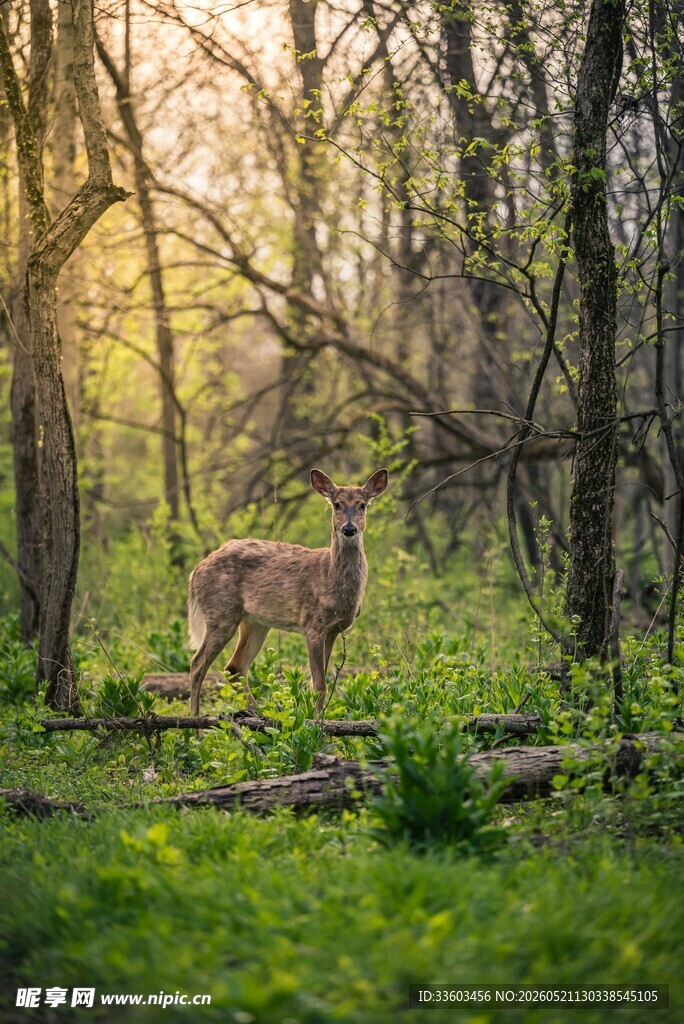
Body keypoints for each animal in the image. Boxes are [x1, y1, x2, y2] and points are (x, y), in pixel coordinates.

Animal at [187, 468, 389, 716]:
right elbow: (319, 683)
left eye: (362, 505)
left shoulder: (334, 629)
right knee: (198, 662)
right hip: (221, 612)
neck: (330, 578)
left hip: (254, 621)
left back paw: (261, 714)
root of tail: (196, 570)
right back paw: (194, 719)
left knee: (234, 667)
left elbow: (320, 681)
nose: (349, 529)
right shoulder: (312, 624)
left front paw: (317, 716)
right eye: (337, 504)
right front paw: (316, 721)